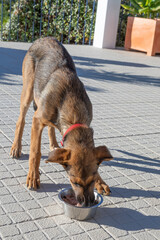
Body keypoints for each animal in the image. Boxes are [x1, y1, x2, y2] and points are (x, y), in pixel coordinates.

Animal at [10, 37, 112, 206]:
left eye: (92, 180)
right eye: (74, 182)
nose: (87, 204)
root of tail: (43, 38)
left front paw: (101, 182)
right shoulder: (37, 121)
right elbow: (35, 152)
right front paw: (33, 176)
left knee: (51, 127)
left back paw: (54, 145)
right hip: (28, 91)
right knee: (21, 121)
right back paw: (16, 148)